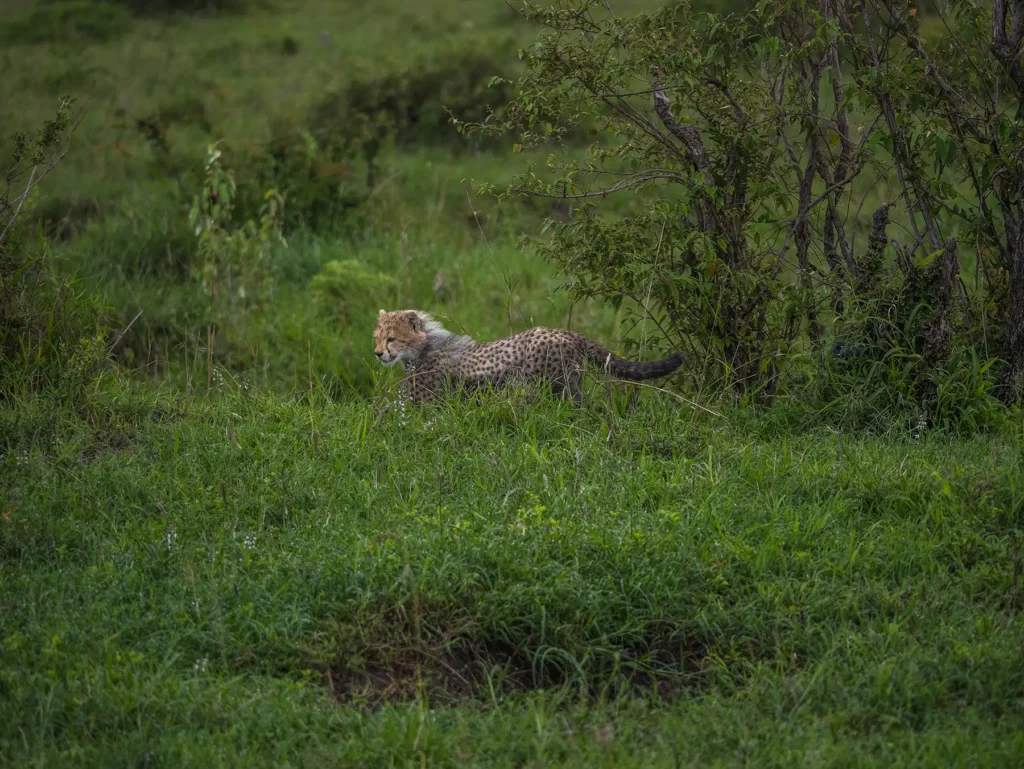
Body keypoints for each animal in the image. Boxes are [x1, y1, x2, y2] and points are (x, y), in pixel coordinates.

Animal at [373, 309, 683, 404]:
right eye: (377, 338)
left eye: (392, 339)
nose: (377, 353)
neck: (423, 347)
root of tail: (564, 331)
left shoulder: (426, 405)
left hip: (559, 386)